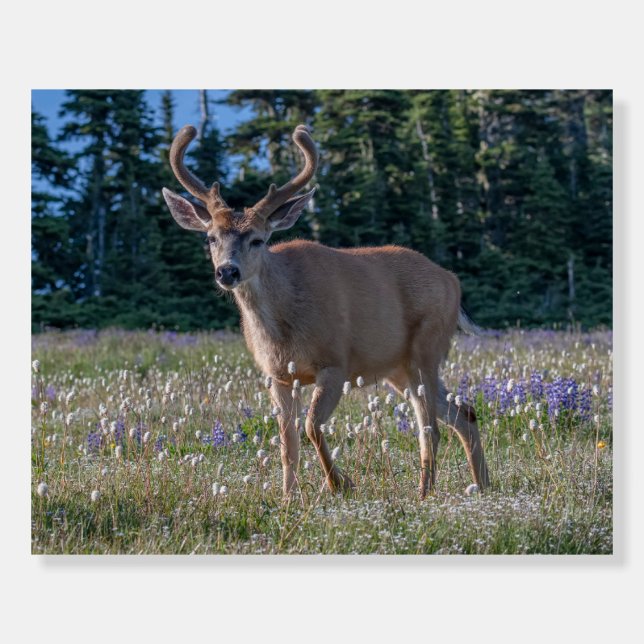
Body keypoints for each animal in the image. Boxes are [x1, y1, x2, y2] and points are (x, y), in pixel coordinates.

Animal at [162, 123, 490, 500]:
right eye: (211, 238)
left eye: (258, 239)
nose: (227, 271)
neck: (283, 325)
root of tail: (452, 280)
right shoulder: (277, 376)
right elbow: (287, 443)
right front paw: (288, 497)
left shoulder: (335, 363)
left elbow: (310, 426)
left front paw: (339, 483)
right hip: (399, 369)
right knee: (464, 412)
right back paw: (482, 484)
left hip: (426, 348)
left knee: (430, 428)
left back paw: (424, 492)